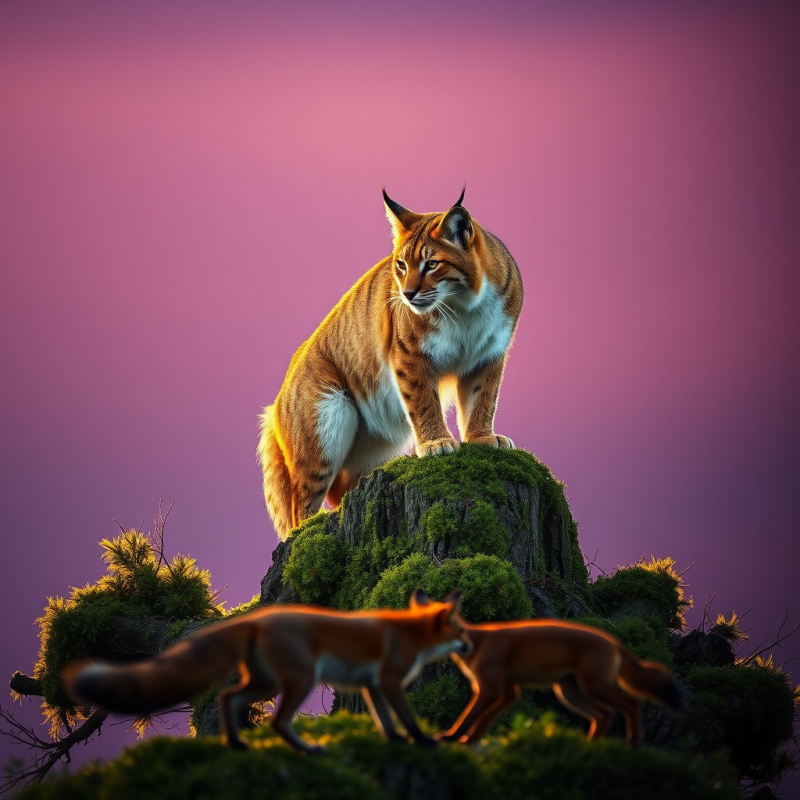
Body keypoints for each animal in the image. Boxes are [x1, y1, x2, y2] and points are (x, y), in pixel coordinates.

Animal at [63, 589, 471, 753]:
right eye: (463, 630)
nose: (470, 646)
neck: (411, 633)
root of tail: (259, 618)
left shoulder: (371, 685)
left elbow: (385, 720)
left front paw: (396, 741)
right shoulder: (388, 681)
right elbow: (407, 717)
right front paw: (422, 741)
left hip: (265, 682)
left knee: (228, 697)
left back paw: (237, 744)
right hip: (299, 681)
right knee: (275, 721)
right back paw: (308, 750)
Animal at [258, 188, 523, 539]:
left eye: (431, 264)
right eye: (401, 265)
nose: (407, 295)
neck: (463, 305)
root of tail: (275, 403)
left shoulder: (489, 354)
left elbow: (484, 399)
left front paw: (482, 439)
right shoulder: (408, 354)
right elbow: (424, 401)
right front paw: (437, 443)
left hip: (378, 439)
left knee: (340, 489)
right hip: (323, 425)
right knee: (300, 506)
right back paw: (307, 532)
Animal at [437, 619, 683, 746]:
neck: (480, 642)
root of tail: (614, 642)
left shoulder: (490, 690)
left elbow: (468, 717)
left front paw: (453, 737)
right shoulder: (507, 692)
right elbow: (482, 721)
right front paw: (468, 740)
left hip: (593, 686)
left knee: (630, 704)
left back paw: (633, 742)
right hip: (570, 693)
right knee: (604, 714)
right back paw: (589, 746)